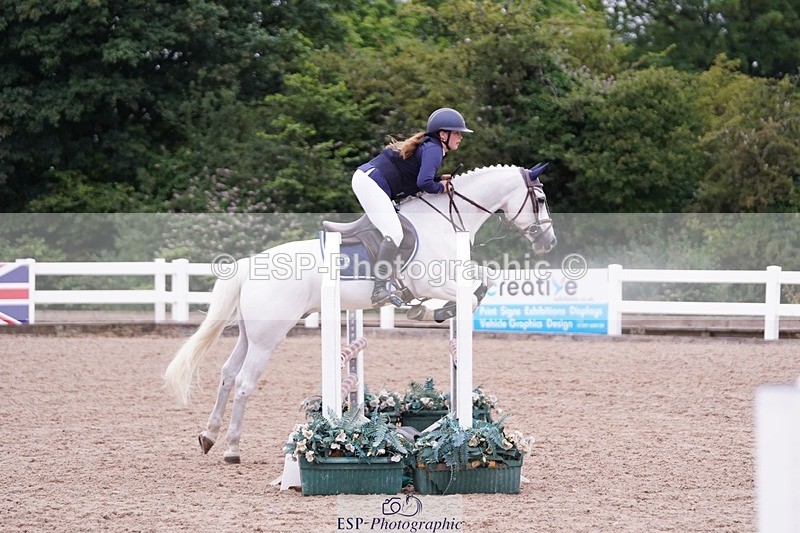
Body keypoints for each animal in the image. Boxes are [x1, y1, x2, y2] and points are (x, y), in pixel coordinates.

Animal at [164, 164, 557, 463]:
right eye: (540, 200)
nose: (548, 242)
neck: (443, 221)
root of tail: (248, 265)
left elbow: (484, 280)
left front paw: (428, 312)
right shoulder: (435, 281)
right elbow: (473, 292)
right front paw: (433, 312)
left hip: (250, 333)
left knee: (228, 374)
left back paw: (209, 436)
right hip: (268, 337)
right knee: (244, 382)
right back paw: (231, 448)